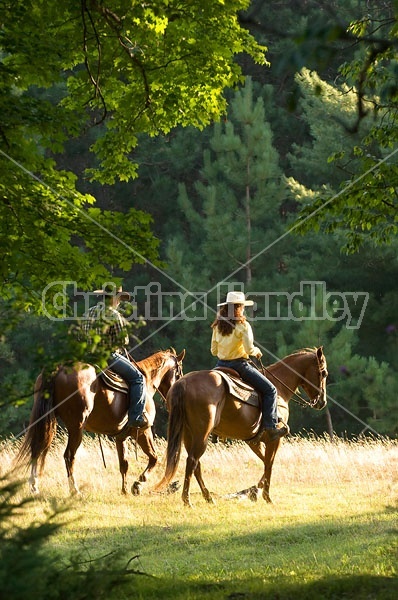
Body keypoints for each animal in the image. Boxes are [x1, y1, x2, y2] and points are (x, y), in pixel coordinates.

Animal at [17, 346, 186, 496]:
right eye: (179, 373)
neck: (146, 379)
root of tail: (60, 368)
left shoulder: (121, 437)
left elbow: (124, 464)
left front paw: (124, 491)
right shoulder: (144, 430)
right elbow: (154, 458)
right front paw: (137, 485)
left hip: (48, 421)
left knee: (37, 448)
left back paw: (34, 487)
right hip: (76, 427)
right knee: (69, 456)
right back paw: (75, 490)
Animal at [154, 346, 328, 506]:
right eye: (324, 373)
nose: (322, 402)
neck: (279, 389)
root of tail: (183, 383)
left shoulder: (253, 441)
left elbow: (264, 461)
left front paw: (255, 490)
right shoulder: (274, 439)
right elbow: (269, 464)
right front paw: (266, 496)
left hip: (187, 434)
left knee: (196, 464)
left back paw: (208, 497)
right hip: (201, 434)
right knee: (192, 461)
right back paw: (187, 500)